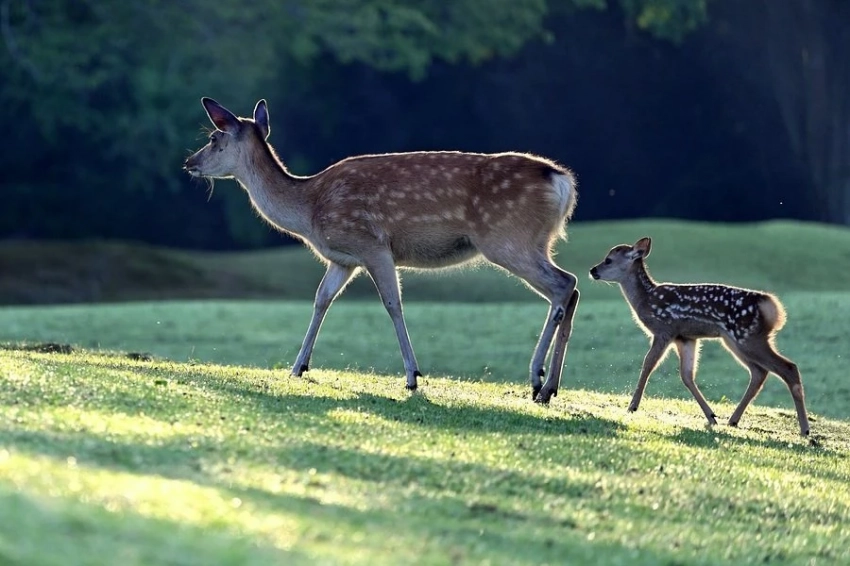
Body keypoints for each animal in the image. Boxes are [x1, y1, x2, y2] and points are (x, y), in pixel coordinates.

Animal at [184, 98, 584, 404]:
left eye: (215, 138)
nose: (189, 163)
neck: (310, 209)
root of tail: (562, 182)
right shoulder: (342, 260)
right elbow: (321, 300)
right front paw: (298, 367)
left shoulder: (372, 244)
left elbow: (392, 303)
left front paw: (412, 375)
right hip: (535, 242)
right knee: (573, 287)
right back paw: (550, 388)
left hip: (507, 238)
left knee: (563, 284)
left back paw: (536, 378)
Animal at [588, 237, 804, 438]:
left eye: (608, 260)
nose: (592, 270)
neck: (646, 300)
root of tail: (771, 307)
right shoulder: (685, 337)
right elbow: (687, 375)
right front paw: (711, 416)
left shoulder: (664, 329)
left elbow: (648, 363)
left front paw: (632, 406)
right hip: (735, 340)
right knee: (759, 372)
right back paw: (733, 420)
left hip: (747, 337)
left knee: (788, 367)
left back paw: (804, 430)